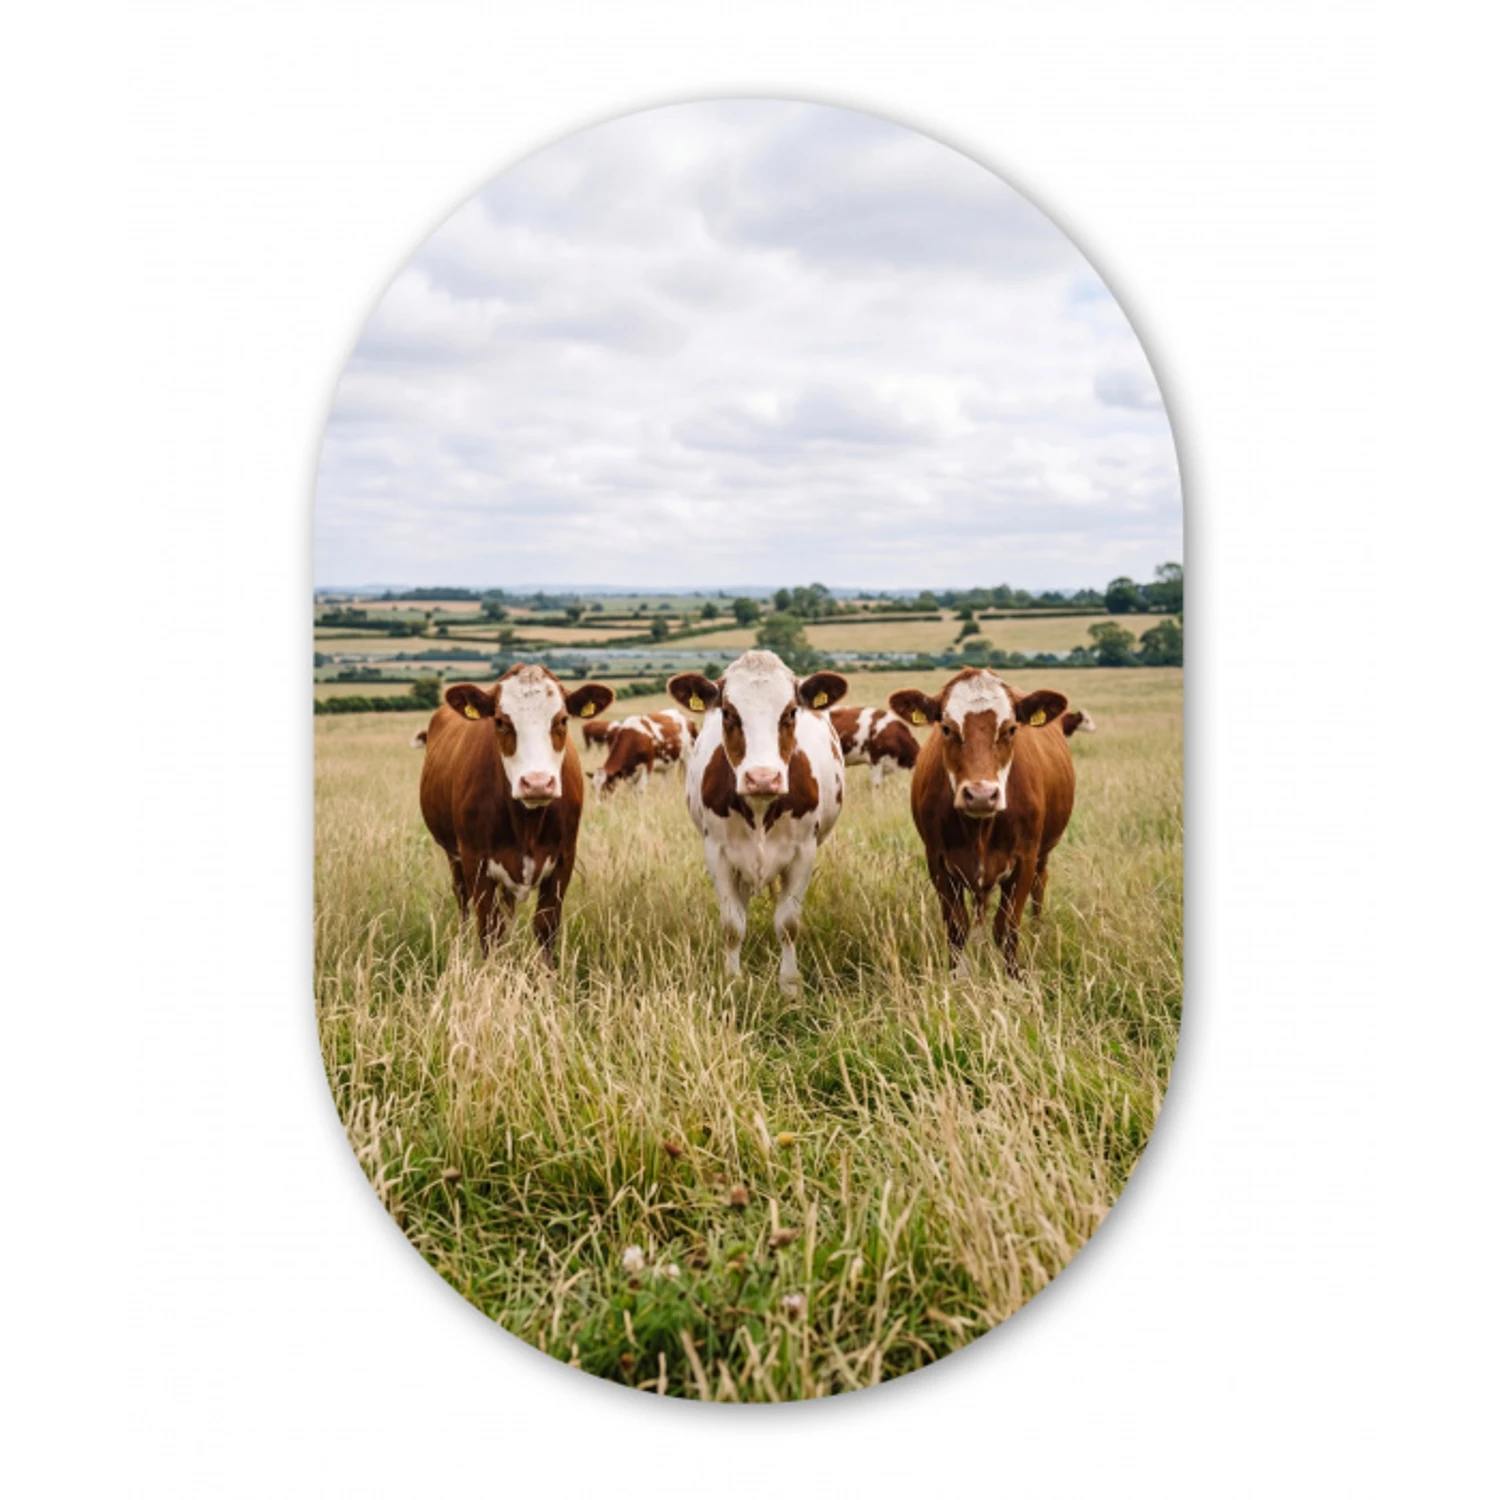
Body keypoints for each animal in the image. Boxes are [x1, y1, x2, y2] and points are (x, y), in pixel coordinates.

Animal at [417, 664, 614, 955]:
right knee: (462, 898)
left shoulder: (563, 859)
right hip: (454, 855)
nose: (537, 783)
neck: (527, 823)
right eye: (500, 721)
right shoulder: (475, 861)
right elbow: (488, 929)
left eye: (563, 720)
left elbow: (545, 926)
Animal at [669, 651, 848, 993]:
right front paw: (733, 980)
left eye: (791, 712)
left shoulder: (804, 852)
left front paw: (790, 985)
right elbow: (732, 924)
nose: (762, 777)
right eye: (728, 713)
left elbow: (788, 923)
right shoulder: (717, 852)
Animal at [887, 668, 1074, 978]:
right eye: (946, 728)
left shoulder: (1025, 858)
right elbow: (956, 927)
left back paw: (1037, 931)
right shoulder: (937, 861)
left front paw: (1014, 977)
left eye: (1010, 729)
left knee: (1040, 883)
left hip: (1044, 852)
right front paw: (956, 976)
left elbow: (1007, 928)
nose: (981, 795)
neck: (979, 830)